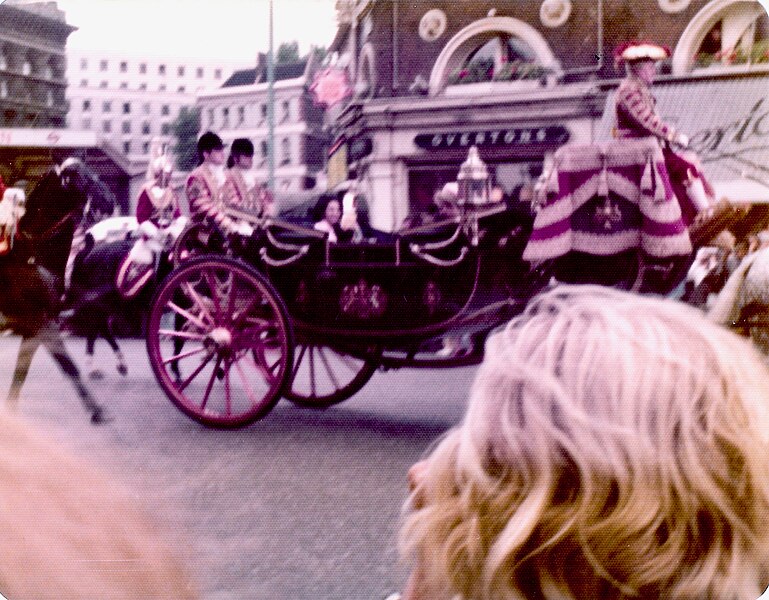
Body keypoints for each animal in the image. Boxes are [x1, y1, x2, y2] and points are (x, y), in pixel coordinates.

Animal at [0, 159, 114, 422]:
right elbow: (69, 366)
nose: (110, 200)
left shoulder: (33, 328)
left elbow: (20, 373)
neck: (32, 252)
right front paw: (97, 411)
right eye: (78, 178)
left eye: (92, 171)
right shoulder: (42, 323)